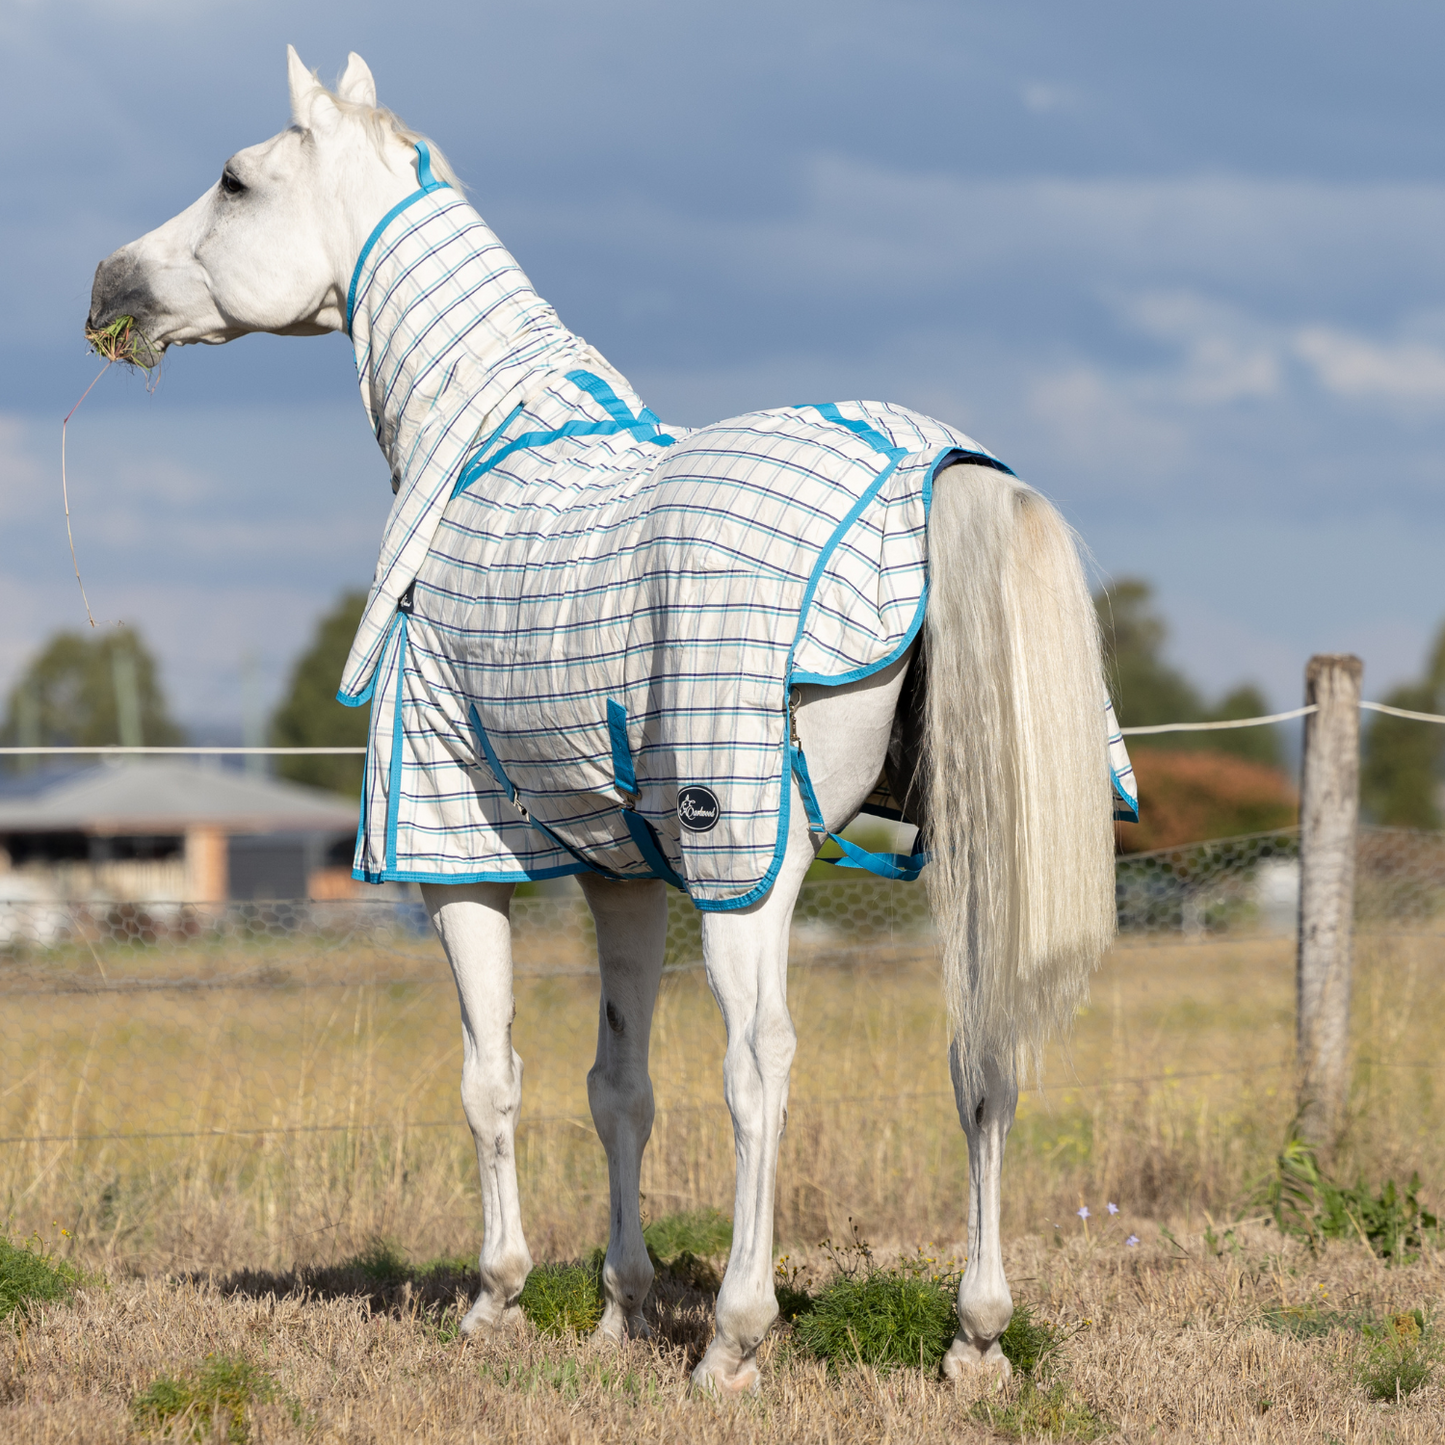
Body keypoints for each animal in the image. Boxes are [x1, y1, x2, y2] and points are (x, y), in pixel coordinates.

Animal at [90, 48, 1121, 1398]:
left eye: (235, 179)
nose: (110, 286)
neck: (481, 459)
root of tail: (936, 472)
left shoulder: (459, 862)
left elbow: (493, 1079)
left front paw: (497, 1298)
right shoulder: (621, 874)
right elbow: (616, 1085)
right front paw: (620, 1306)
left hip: (750, 859)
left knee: (760, 1067)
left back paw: (734, 1337)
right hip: (966, 851)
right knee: (979, 1055)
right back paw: (976, 1334)